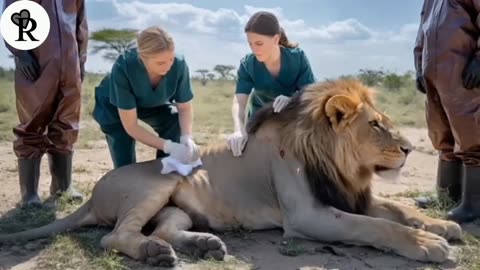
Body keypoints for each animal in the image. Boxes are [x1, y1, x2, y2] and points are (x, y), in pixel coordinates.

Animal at [0, 79, 464, 266]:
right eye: (375, 125)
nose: (409, 149)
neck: (340, 164)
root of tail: (95, 195)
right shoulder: (308, 215)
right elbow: (374, 227)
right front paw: (428, 244)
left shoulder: (349, 194)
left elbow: (397, 211)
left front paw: (441, 225)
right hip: (158, 182)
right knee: (114, 236)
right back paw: (154, 254)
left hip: (177, 205)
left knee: (163, 229)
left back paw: (202, 245)